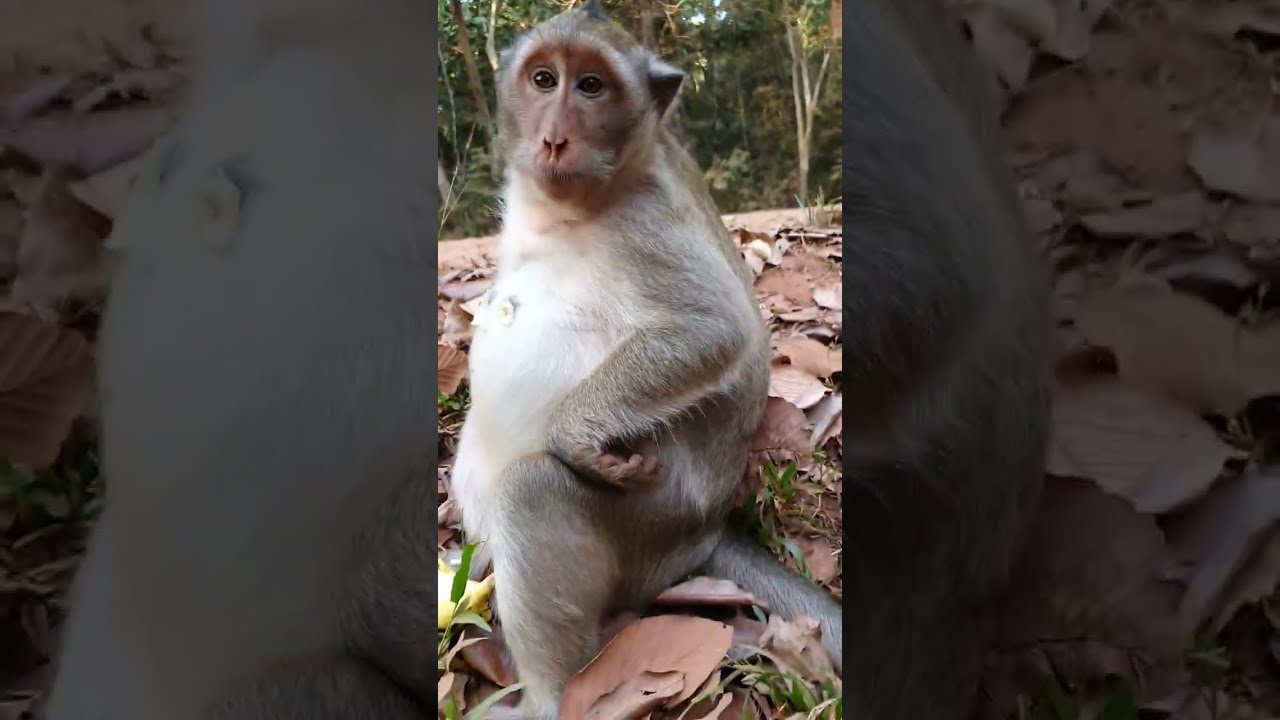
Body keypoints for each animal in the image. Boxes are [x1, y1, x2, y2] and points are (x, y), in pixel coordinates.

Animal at [445, 2, 845, 719]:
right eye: (544, 79)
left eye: (591, 87)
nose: (554, 139)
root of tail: (703, 531)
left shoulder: (648, 224)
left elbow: (714, 331)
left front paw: (576, 437)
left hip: (645, 526)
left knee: (529, 491)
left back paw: (547, 697)